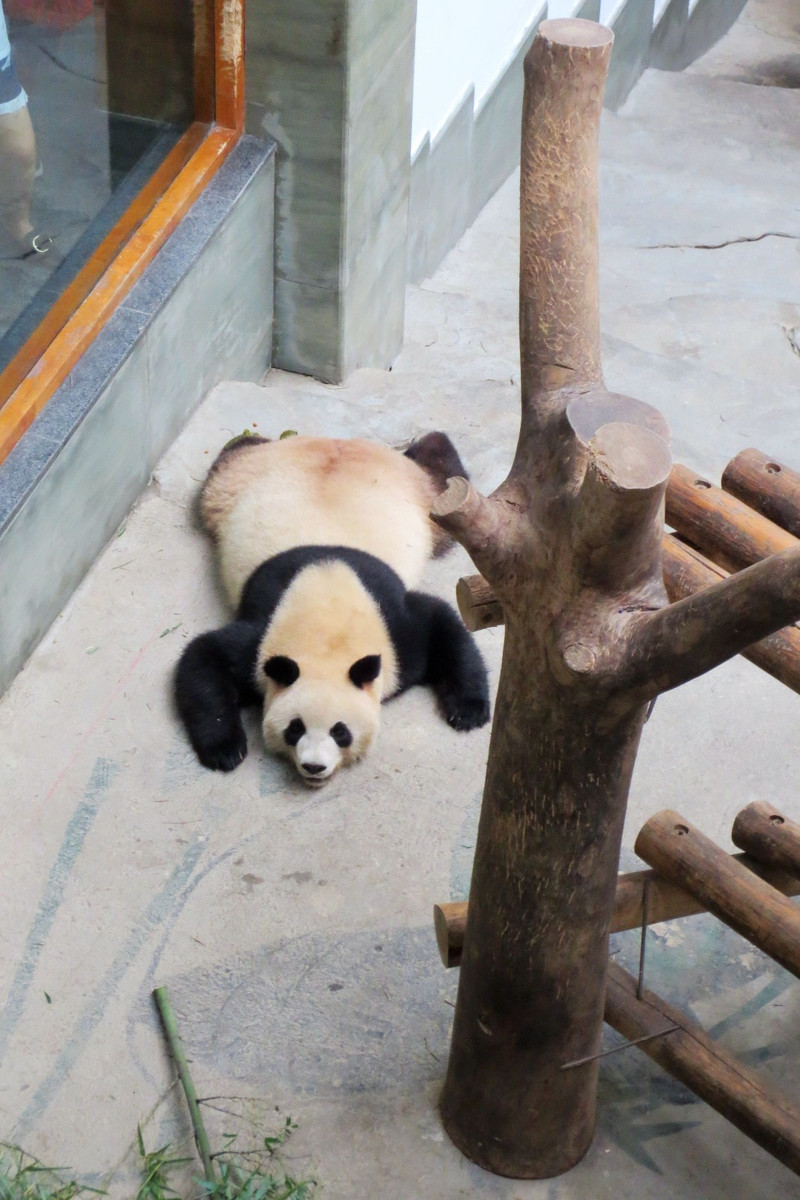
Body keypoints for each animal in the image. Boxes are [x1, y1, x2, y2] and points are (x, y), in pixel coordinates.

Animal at [173, 432, 489, 787]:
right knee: (228, 463)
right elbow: (203, 658)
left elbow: (442, 625)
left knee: (440, 482)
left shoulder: (396, 632)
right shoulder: (260, 641)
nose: (314, 767)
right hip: (236, 481)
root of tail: (335, 440)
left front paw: (469, 710)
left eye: (341, 732)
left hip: (421, 494)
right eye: (295, 728)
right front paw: (225, 749)